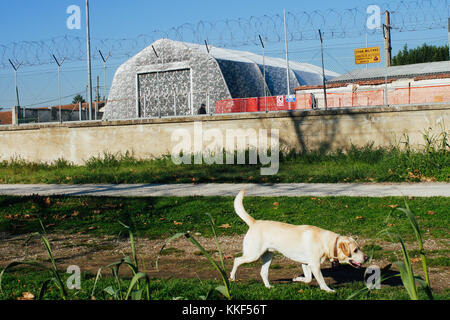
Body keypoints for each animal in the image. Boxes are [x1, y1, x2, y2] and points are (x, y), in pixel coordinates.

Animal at [230, 190, 368, 292]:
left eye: (359, 248)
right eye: (355, 250)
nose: (366, 258)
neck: (327, 242)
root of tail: (254, 222)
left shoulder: (305, 264)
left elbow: (308, 279)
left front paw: (298, 279)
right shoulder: (314, 265)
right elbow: (321, 281)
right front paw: (328, 290)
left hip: (268, 256)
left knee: (263, 272)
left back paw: (269, 287)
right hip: (253, 255)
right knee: (237, 260)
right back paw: (232, 277)